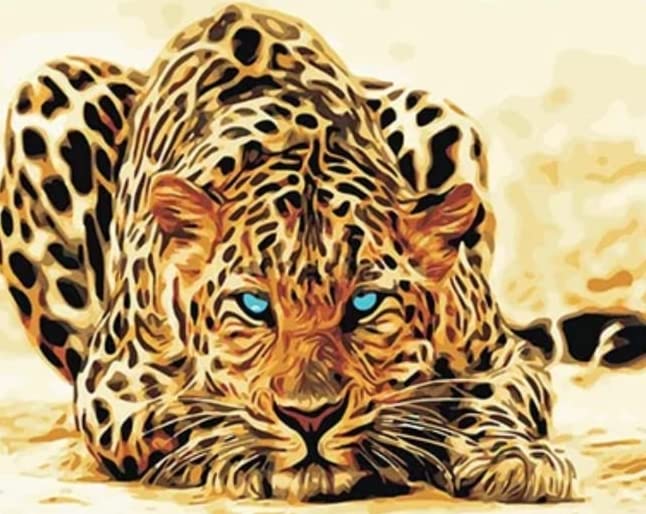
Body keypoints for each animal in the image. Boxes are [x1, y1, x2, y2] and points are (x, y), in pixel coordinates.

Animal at [0, 2, 578, 503]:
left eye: (365, 304)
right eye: (255, 307)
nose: (311, 417)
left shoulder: (502, 355)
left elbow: (498, 398)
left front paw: (516, 459)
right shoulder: (112, 389)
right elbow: (185, 416)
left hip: (438, 116)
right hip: (46, 92)